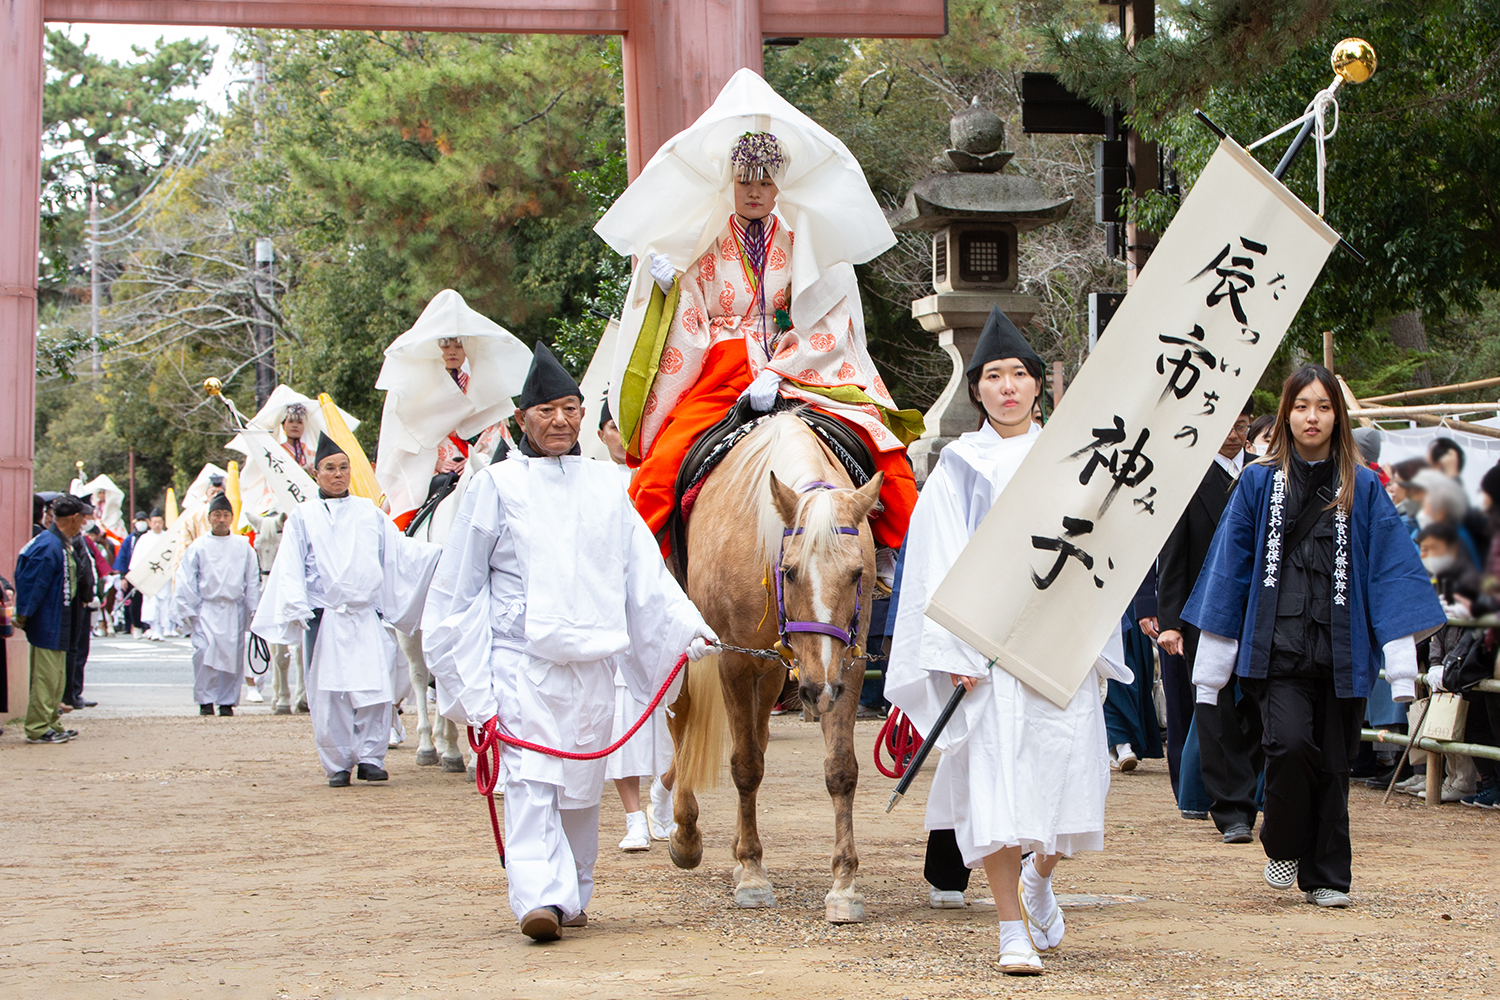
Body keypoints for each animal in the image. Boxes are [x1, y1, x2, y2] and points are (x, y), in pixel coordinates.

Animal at [666, 413, 876, 923]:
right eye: (790, 571)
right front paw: (753, 874)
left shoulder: (847, 664)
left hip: (778, 670)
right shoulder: (734, 659)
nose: (819, 690)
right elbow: (745, 765)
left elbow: (840, 769)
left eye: (858, 575)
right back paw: (686, 834)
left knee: (759, 732)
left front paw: (844, 884)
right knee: (682, 722)